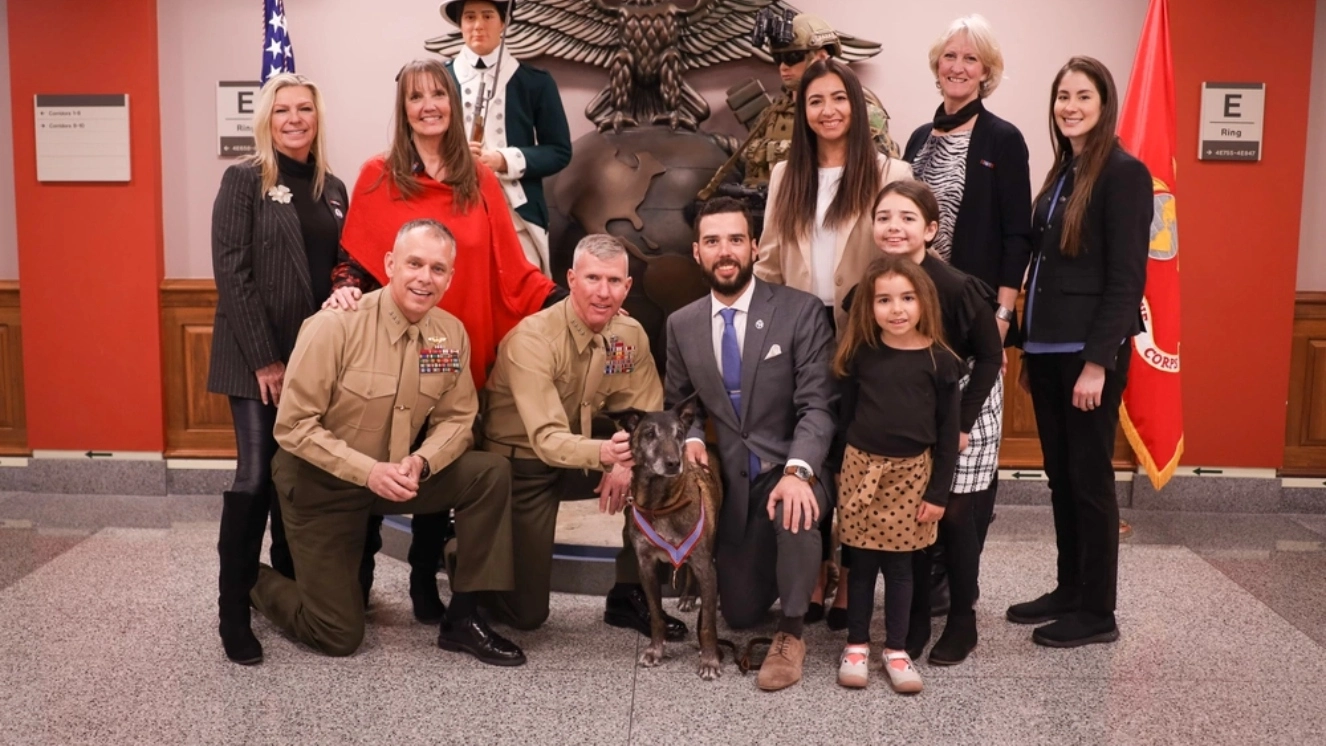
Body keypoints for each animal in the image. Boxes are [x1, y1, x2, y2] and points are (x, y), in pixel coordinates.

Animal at [609, 397, 726, 683]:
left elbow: (707, 623)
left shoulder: (707, 567)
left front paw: (710, 659)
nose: (674, 463)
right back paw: (687, 596)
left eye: (680, 434)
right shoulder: (646, 566)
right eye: (650, 434)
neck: (660, 504)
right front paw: (656, 650)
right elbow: (655, 615)